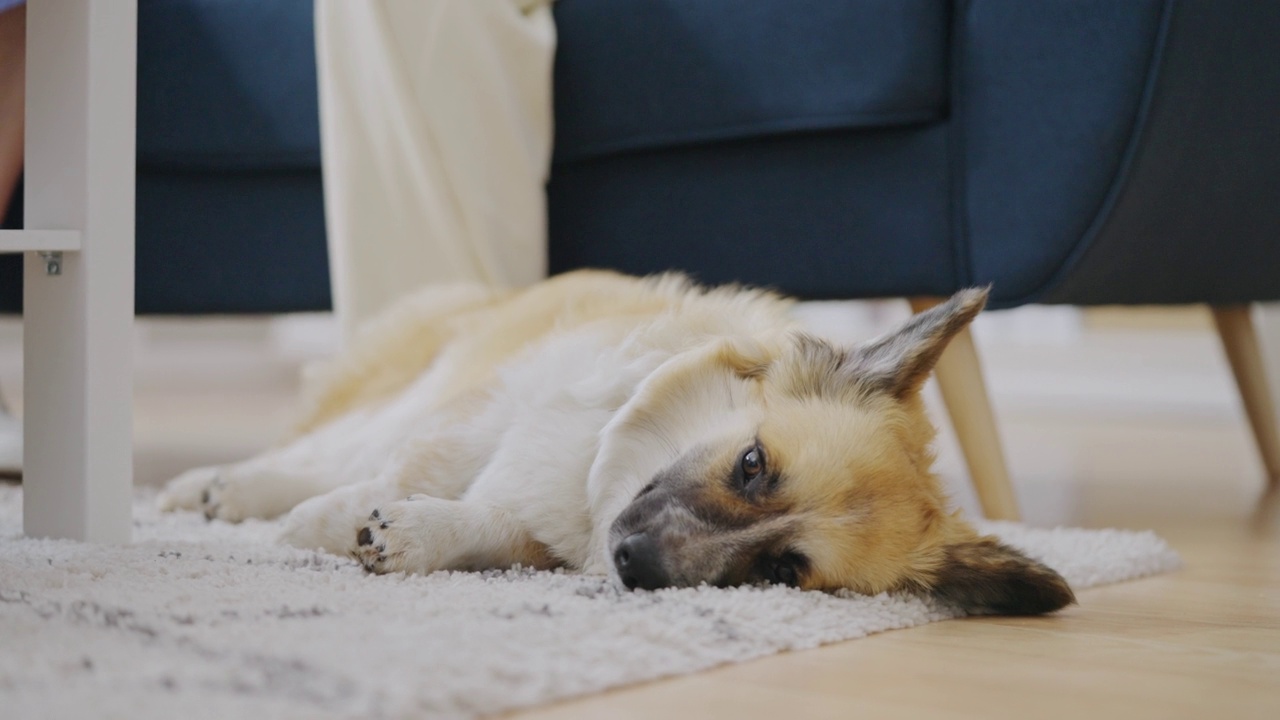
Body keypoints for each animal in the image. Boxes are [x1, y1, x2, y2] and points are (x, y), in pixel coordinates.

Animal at [162, 269, 1080, 609]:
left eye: (783, 570)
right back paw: (216, 492)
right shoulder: (480, 417)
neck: (593, 479)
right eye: (753, 465)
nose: (635, 563)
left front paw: (417, 532)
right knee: (323, 452)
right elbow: (401, 471)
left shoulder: (534, 529)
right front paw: (318, 526)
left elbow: (487, 525)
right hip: (418, 391)